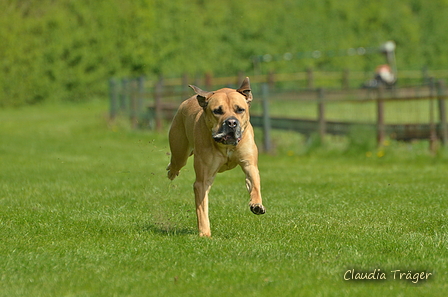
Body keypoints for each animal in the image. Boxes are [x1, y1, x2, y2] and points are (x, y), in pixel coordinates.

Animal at [168, 76, 266, 236]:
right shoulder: (202, 181)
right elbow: (202, 208)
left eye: (240, 109)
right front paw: (204, 233)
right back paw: (171, 171)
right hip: (180, 151)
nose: (231, 122)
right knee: (176, 162)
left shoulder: (249, 164)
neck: (226, 145)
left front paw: (257, 204)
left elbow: (254, 183)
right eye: (217, 111)